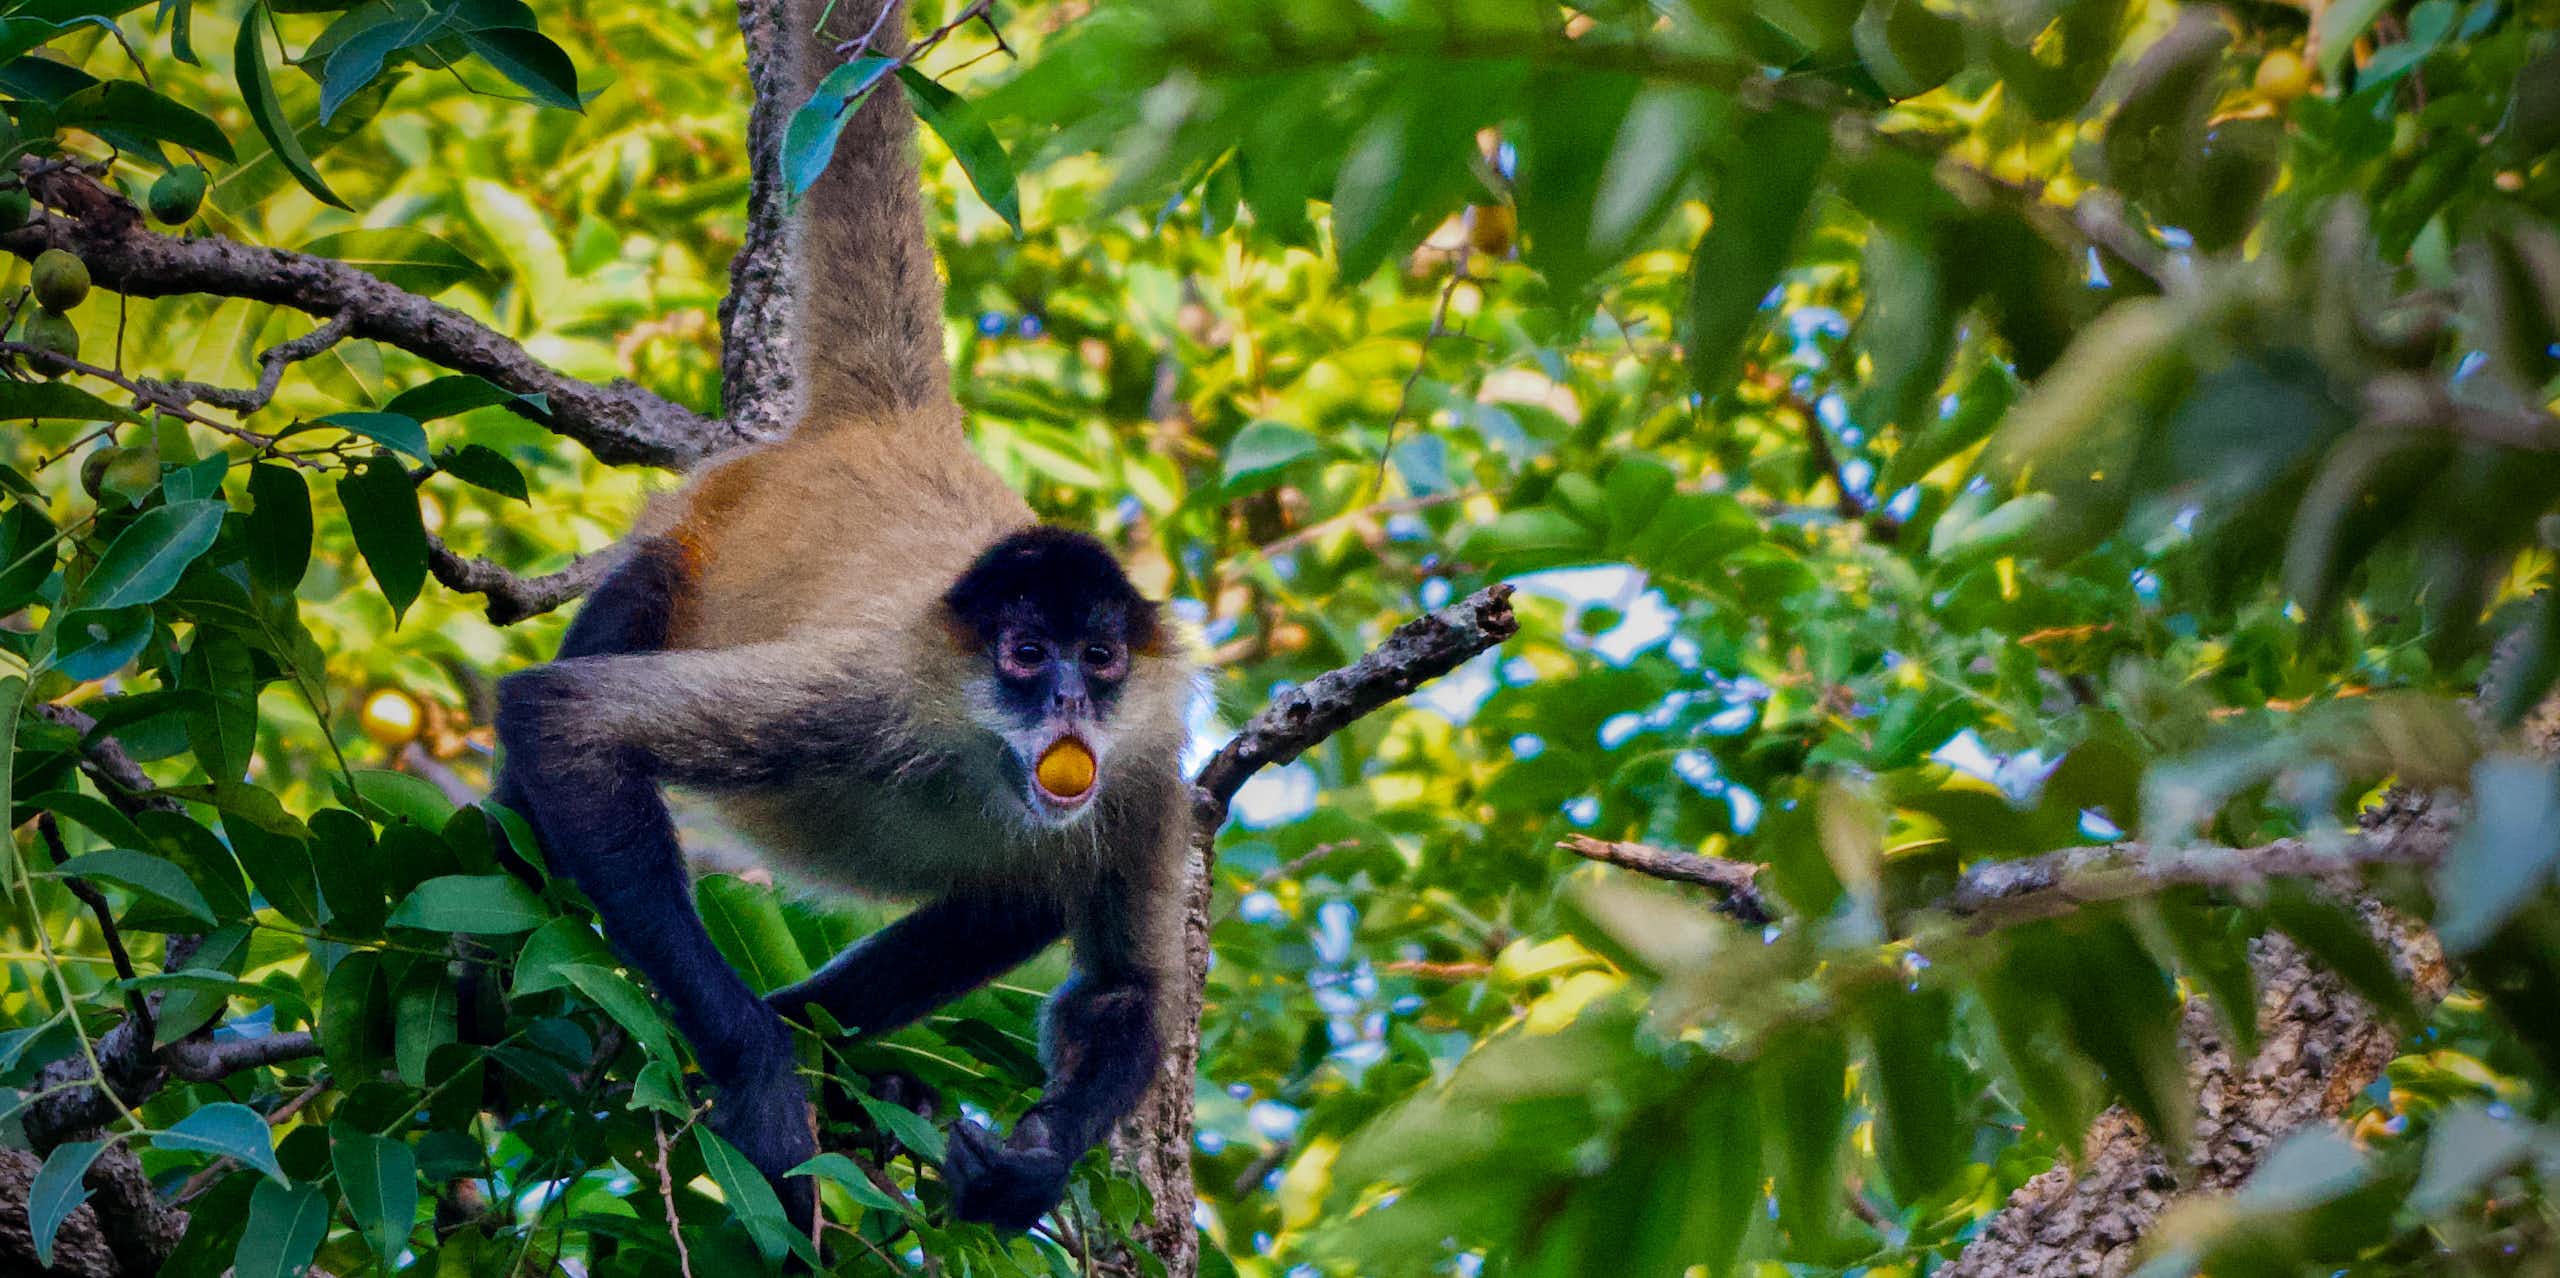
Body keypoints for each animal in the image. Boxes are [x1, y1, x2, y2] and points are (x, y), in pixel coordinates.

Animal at [486, 0, 1194, 1236]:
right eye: (1025, 655)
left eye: (1101, 658)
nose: (1068, 696)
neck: (980, 758)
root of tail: (891, 429)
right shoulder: (863, 691)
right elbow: (561, 724)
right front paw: (762, 1071)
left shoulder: (1147, 766)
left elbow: (1122, 991)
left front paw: (1030, 1166)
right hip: (687, 546)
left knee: (1018, 896)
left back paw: (841, 1053)